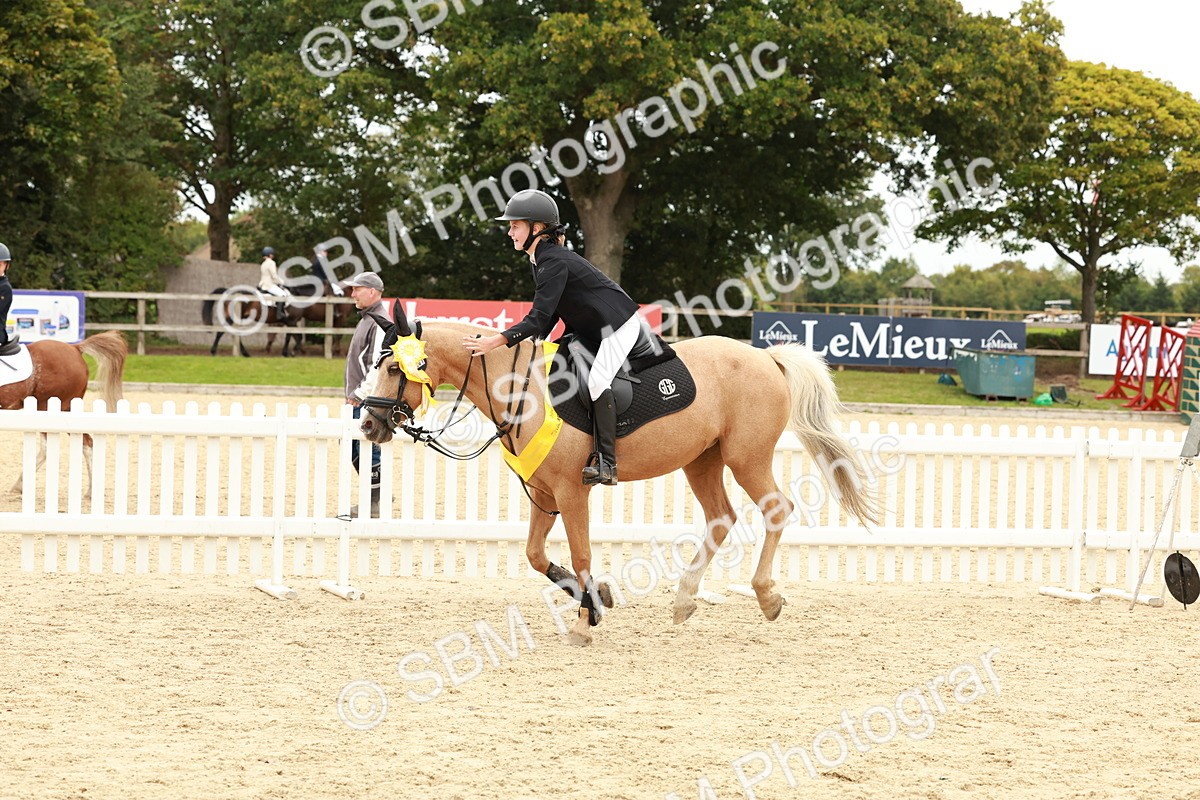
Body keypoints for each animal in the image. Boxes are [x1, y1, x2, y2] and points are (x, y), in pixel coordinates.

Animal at [2, 330, 127, 497]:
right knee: (87, 442)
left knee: (47, 448)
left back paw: (19, 484)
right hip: (66, 410)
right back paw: (91, 490)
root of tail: (75, 348)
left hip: (46, 408)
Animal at [202, 283, 354, 357]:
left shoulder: (291, 321)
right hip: (234, 317)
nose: (336, 310)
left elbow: (294, 337)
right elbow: (293, 337)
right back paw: (214, 351)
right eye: (330, 289)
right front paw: (290, 352)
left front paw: (290, 352)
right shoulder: (292, 321)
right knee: (222, 332)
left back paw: (245, 353)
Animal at [358, 303, 876, 646]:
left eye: (394, 368)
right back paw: (684, 600)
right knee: (721, 517)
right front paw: (597, 598)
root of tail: (766, 357)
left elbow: (582, 552)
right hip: (702, 460)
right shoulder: (543, 492)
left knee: (775, 509)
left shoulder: (571, 492)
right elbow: (535, 555)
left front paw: (585, 620)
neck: (520, 388)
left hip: (746, 456)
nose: (368, 425)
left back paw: (767, 597)